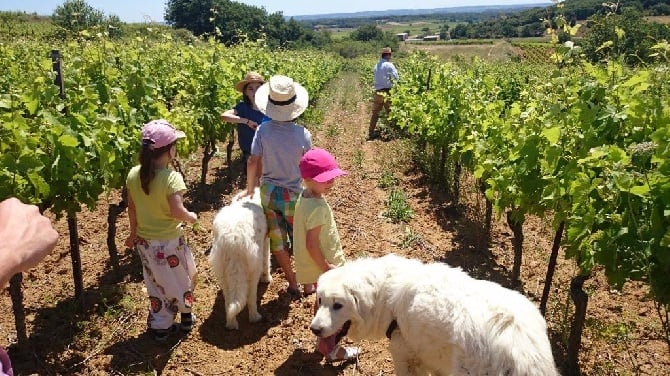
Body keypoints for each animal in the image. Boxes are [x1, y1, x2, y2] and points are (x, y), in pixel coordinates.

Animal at [210, 189, 272, 330]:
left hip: (222, 271)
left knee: (229, 301)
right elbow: (267, 260)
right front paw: (267, 279)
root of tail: (233, 242)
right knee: (251, 297)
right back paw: (255, 318)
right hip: (253, 267)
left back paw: (231, 324)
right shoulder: (265, 242)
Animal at [312, 254, 560, 374]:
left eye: (338, 305)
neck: (386, 295)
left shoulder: (404, 358)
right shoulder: (433, 361)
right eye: (320, 300)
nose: (314, 329)